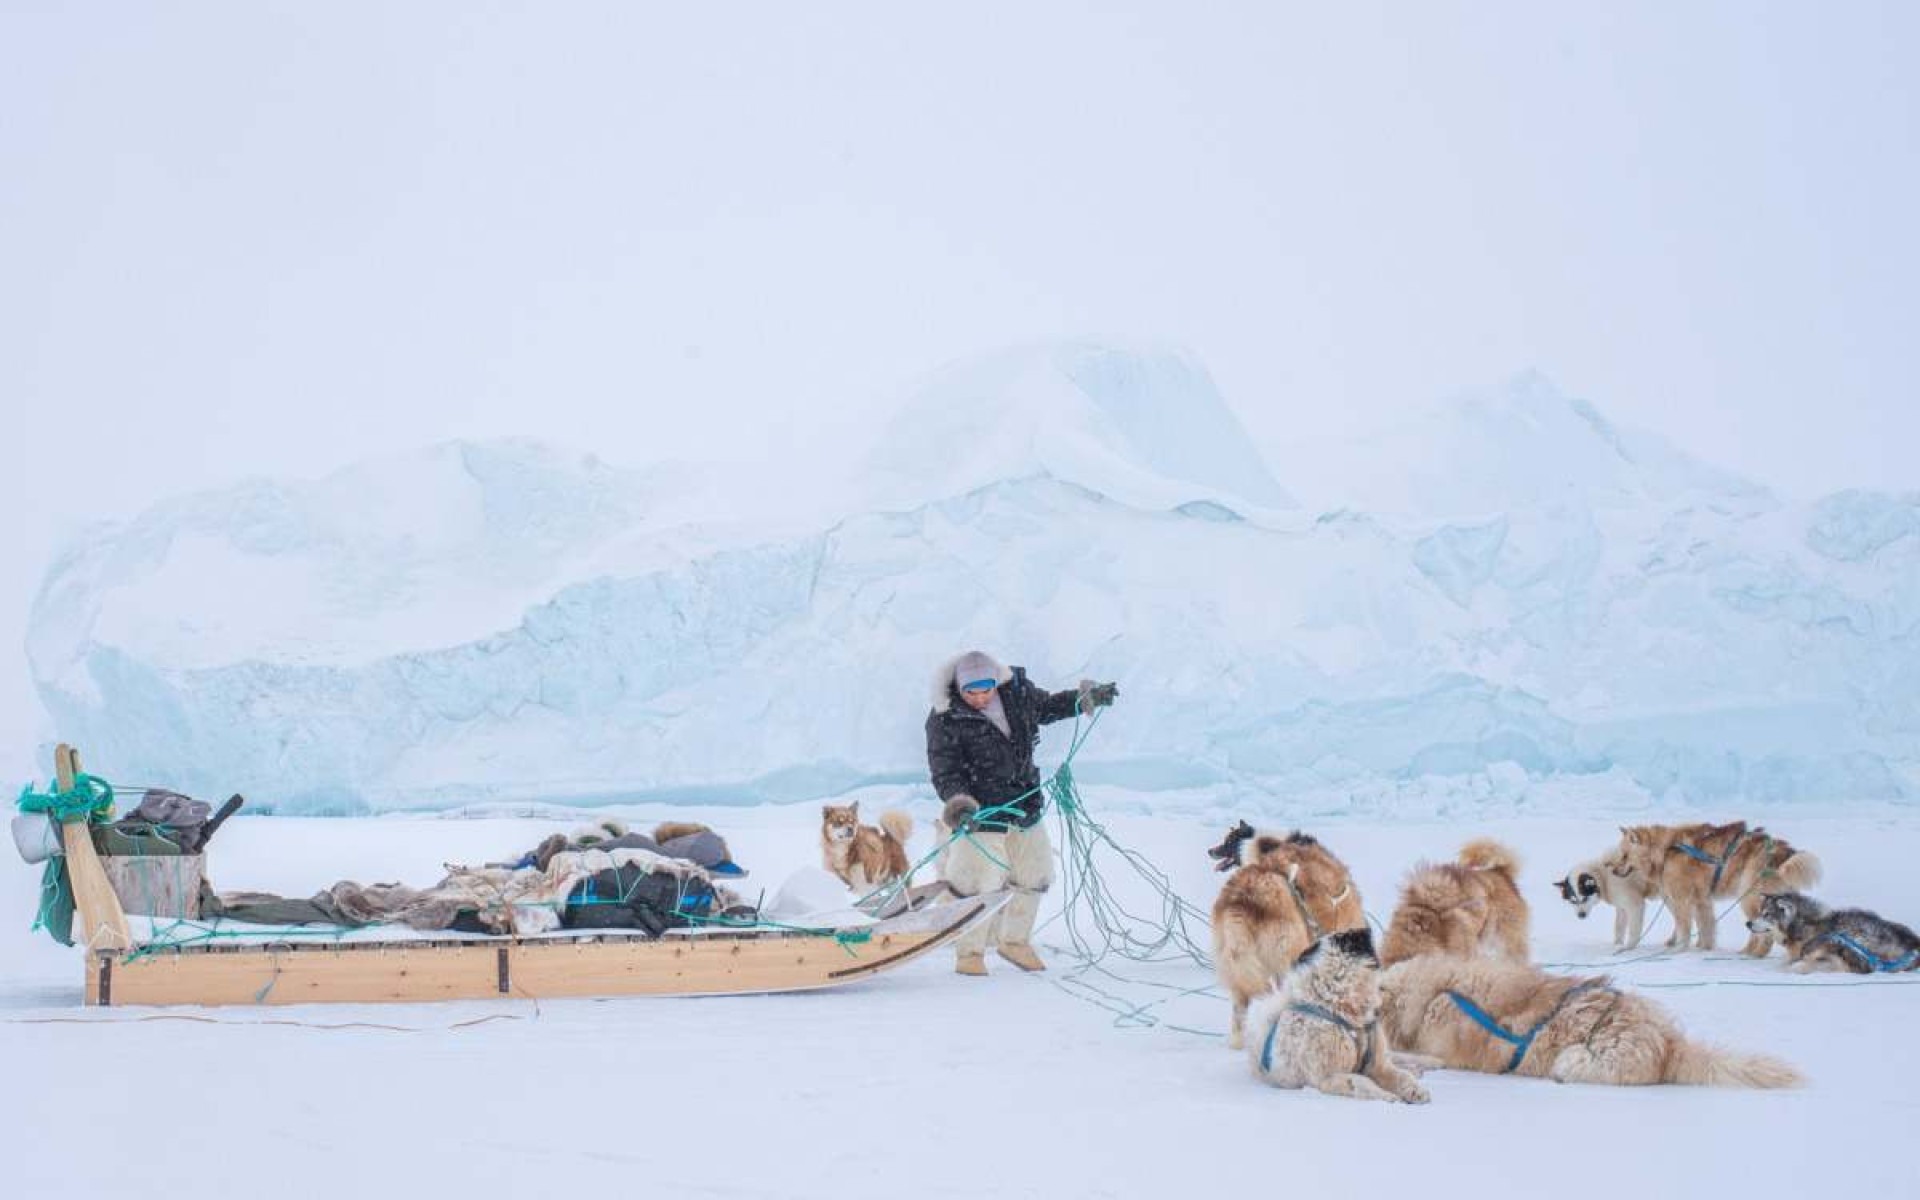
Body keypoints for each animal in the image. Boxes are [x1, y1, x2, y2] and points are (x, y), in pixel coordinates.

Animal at [1612, 817, 1820, 948]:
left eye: (1624, 855)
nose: (1613, 871)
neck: (1666, 850)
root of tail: (1783, 851)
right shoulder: (1701, 900)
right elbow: (1705, 927)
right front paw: (1703, 948)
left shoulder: (1683, 899)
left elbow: (1685, 927)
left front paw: (1681, 949)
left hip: (1749, 897)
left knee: (1763, 935)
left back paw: (1748, 954)